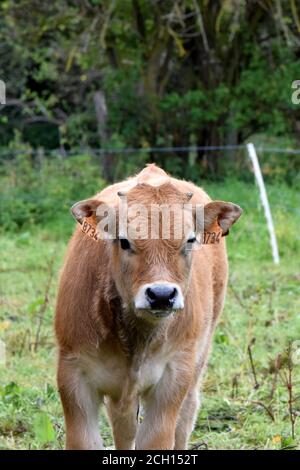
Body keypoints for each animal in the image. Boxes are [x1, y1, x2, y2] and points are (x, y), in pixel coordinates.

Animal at [54, 163, 241, 450]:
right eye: (123, 240)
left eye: (190, 240)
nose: (161, 295)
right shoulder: (73, 373)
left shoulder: (173, 377)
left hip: (199, 355)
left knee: (186, 415)